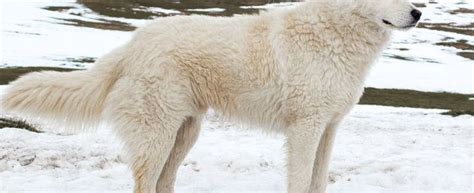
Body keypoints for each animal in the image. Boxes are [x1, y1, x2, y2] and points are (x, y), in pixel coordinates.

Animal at [0, 0, 422, 192]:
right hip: (158, 136)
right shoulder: (305, 129)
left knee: (163, 184)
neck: (334, 33)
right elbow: (301, 181)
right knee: (145, 185)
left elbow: (318, 181)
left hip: (185, 133)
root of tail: (133, 45)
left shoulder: (329, 128)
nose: (418, 12)